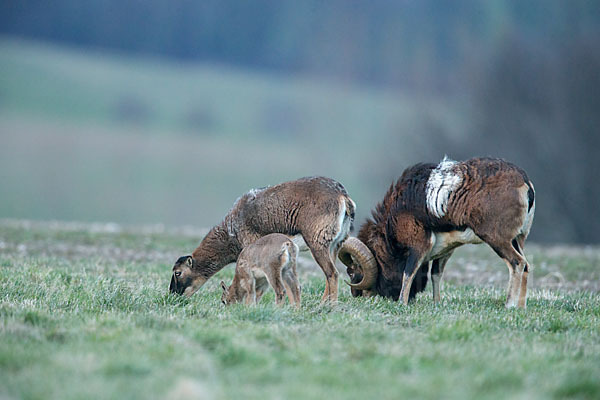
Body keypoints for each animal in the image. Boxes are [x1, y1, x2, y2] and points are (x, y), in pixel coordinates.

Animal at [169, 177, 354, 302]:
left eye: (178, 273)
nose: (172, 296)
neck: (232, 228)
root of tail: (342, 196)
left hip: (318, 243)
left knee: (332, 273)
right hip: (335, 245)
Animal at [338, 158, 536, 308]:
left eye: (351, 271)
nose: (356, 294)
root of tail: (525, 185)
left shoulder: (418, 245)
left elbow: (408, 274)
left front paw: (402, 304)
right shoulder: (446, 249)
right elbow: (436, 274)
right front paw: (436, 303)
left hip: (498, 240)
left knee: (517, 263)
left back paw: (509, 305)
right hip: (517, 240)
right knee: (526, 266)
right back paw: (520, 307)